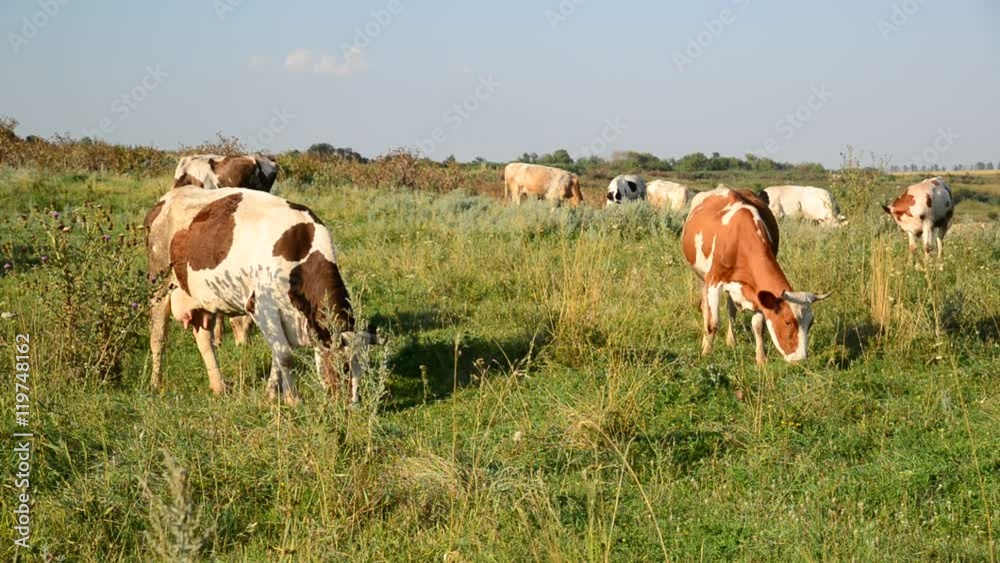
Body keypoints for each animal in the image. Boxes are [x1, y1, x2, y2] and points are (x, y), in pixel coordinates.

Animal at [144, 187, 382, 405]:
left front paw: (272, 395)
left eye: (363, 369)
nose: (352, 407)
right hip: (159, 284)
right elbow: (285, 356)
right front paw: (293, 400)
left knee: (204, 340)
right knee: (158, 336)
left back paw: (219, 386)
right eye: (344, 367)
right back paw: (156, 384)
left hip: (203, 299)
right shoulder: (262, 307)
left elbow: (278, 355)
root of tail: (169, 196)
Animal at [681, 185, 830, 364]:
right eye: (788, 322)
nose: (800, 359)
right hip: (702, 277)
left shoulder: (758, 291)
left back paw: (731, 341)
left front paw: (761, 358)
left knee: (731, 310)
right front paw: (706, 354)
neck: (740, 238)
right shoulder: (714, 281)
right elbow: (713, 322)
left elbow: (758, 325)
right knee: (705, 307)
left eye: (811, 323)